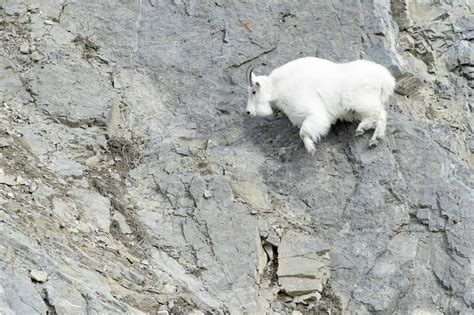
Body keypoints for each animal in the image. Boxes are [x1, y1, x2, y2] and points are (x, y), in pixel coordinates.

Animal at [246, 57, 394, 156]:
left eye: (253, 92)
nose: (248, 112)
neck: (278, 87)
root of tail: (386, 79)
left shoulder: (314, 113)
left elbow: (303, 133)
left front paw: (311, 148)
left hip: (361, 102)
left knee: (379, 114)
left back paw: (368, 133)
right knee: (377, 117)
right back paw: (369, 135)